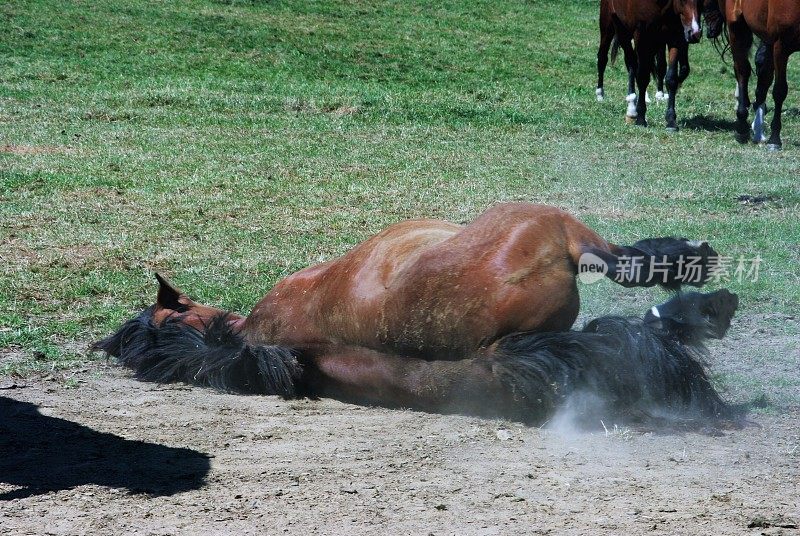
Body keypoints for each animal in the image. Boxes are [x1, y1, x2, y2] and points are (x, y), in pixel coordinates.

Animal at [608, 0, 700, 129]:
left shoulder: (675, 36)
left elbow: (671, 78)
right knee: (631, 63)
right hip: (624, 32)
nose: (695, 33)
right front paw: (641, 118)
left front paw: (671, 120)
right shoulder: (642, 36)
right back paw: (631, 109)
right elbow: (642, 77)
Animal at [708, 0, 800, 151]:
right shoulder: (780, 45)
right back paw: (742, 127)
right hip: (737, 26)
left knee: (763, 78)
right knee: (742, 71)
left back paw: (757, 131)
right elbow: (779, 91)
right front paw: (774, 140)